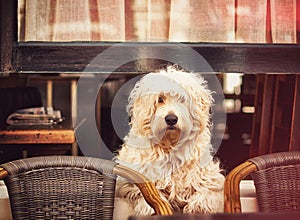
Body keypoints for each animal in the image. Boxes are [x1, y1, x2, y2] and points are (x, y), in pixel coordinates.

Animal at [113, 66, 224, 216]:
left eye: (182, 99)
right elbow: (143, 191)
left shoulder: (209, 177)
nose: (171, 119)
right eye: (160, 99)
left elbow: (208, 191)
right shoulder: (128, 179)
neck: (170, 145)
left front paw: (199, 204)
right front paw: (148, 207)